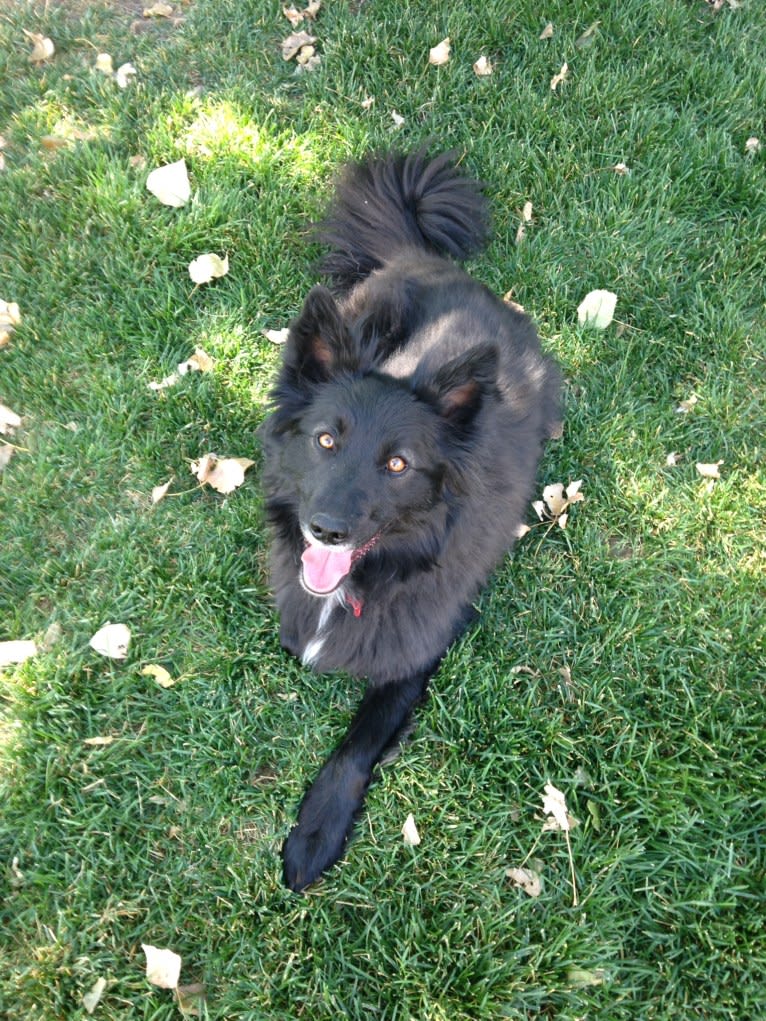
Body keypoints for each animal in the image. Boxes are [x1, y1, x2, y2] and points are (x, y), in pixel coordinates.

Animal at [261, 151, 559, 894]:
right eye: (326, 440)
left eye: (398, 464)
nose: (326, 529)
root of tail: (427, 259)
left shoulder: (419, 651)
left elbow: (357, 741)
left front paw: (316, 831)